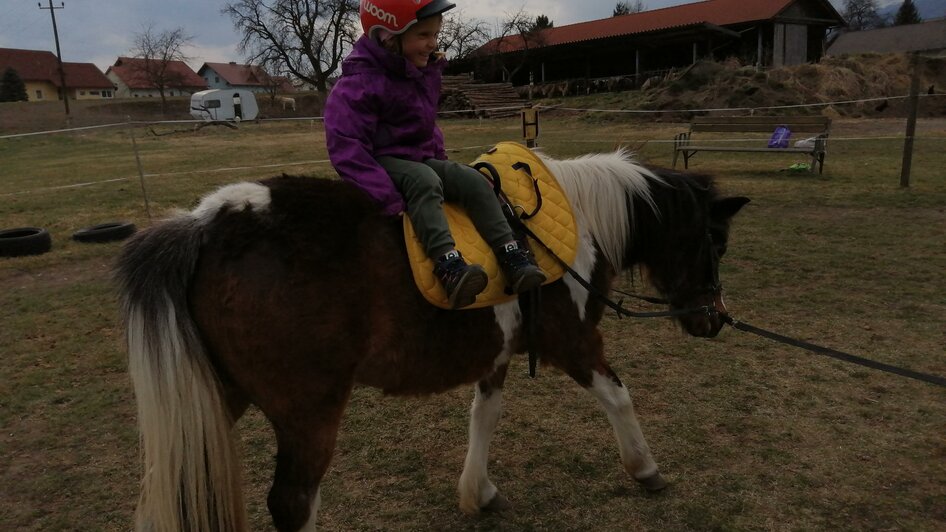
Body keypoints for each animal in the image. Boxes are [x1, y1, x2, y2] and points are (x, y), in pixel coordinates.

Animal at [116, 151, 744, 532]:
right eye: (715, 243)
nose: (714, 319)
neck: (573, 224)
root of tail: (204, 225)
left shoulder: (497, 351)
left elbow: (484, 416)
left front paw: (479, 492)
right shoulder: (575, 343)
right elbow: (619, 397)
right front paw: (645, 468)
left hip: (214, 398)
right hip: (306, 413)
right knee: (293, 503)